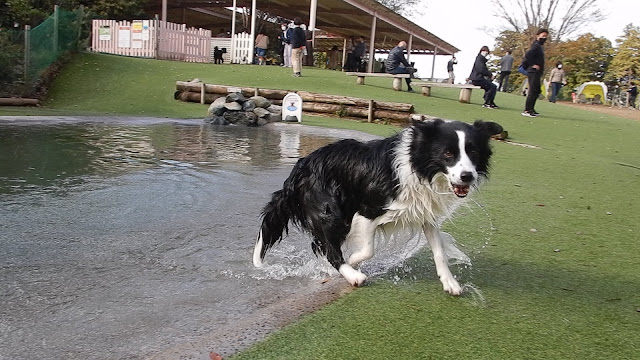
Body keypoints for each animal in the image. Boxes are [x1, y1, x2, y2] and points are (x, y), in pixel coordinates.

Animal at [252, 119, 502, 294]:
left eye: (473, 151)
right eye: (448, 153)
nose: (467, 176)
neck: (418, 166)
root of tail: (297, 171)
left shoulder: (425, 215)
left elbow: (439, 250)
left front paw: (450, 282)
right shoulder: (367, 211)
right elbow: (367, 249)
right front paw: (354, 262)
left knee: (320, 246)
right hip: (331, 211)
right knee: (329, 248)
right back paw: (352, 275)